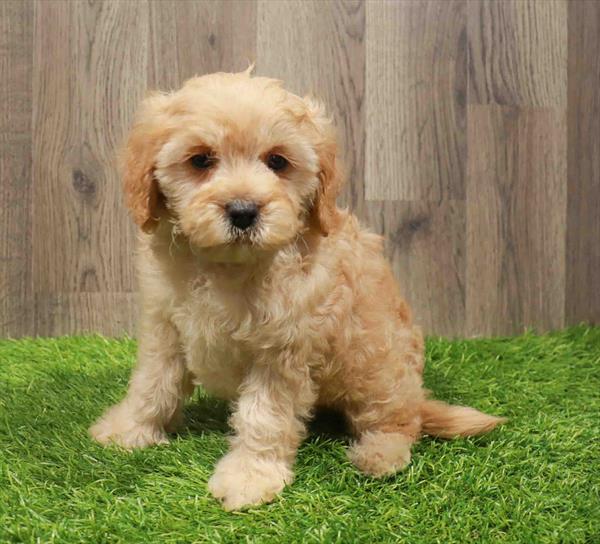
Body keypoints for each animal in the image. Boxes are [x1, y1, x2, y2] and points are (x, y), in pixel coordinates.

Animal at [90, 69, 506, 510]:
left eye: (278, 161)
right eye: (200, 160)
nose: (243, 211)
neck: (227, 266)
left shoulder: (282, 349)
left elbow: (263, 416)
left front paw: (249, 476)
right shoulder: (166, 325)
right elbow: (153, 383)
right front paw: (128, 428)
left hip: (378, 369)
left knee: (398, 420)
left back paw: (380, 455)